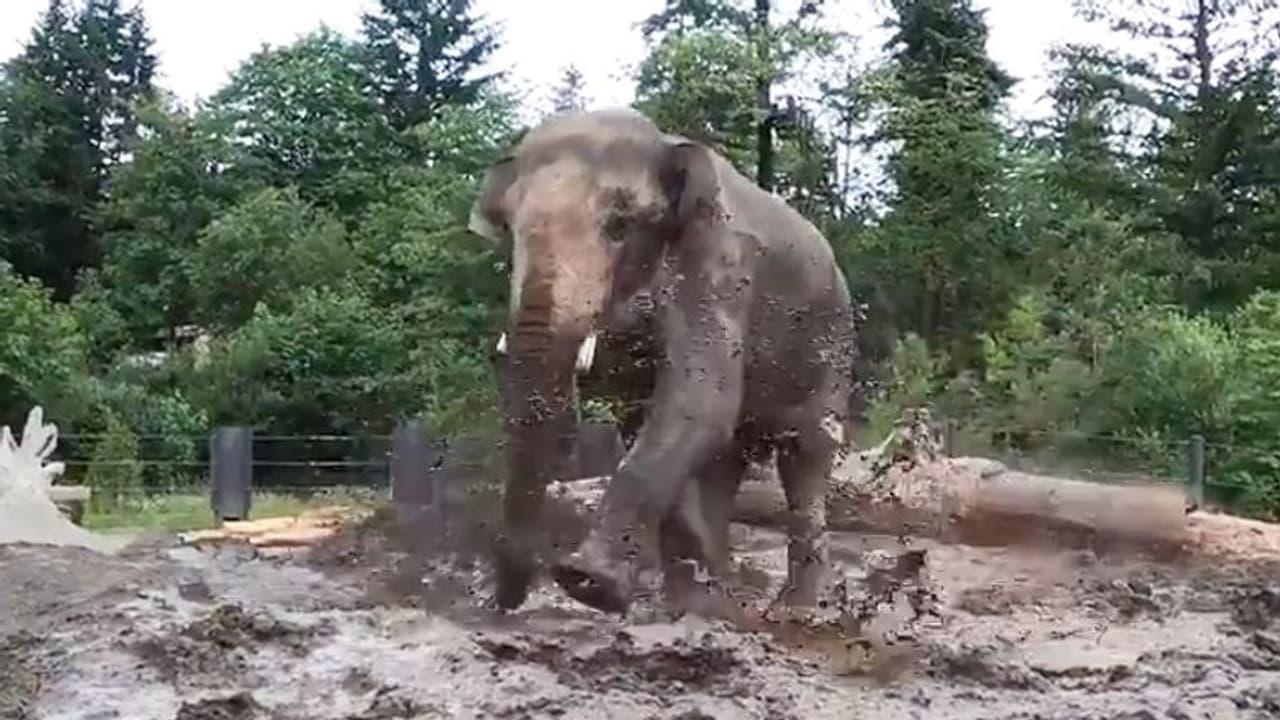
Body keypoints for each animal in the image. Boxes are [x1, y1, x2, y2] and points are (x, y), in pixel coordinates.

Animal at [468, 108, 857, 616]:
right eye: (510, 232)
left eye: (619, 227)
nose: (504, 601)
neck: (665, 144)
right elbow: (648, 413)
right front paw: (678, 596)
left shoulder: (720, 264)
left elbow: (699, 399)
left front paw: (588, 585)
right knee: (724, 461)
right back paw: (718, 592)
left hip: (833, 343)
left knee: (805, 455)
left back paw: (796, 610)